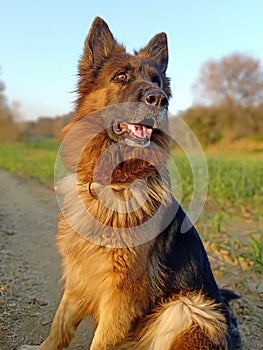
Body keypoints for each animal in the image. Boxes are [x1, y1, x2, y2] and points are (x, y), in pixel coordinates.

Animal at [20, 17, 241, 350]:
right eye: (121, 76)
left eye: (158, 82)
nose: (158, 99)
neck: (115, 181)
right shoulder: (81, 273)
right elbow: (60, 324)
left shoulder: (122, 295)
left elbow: (99, 341)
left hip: (190, 307)